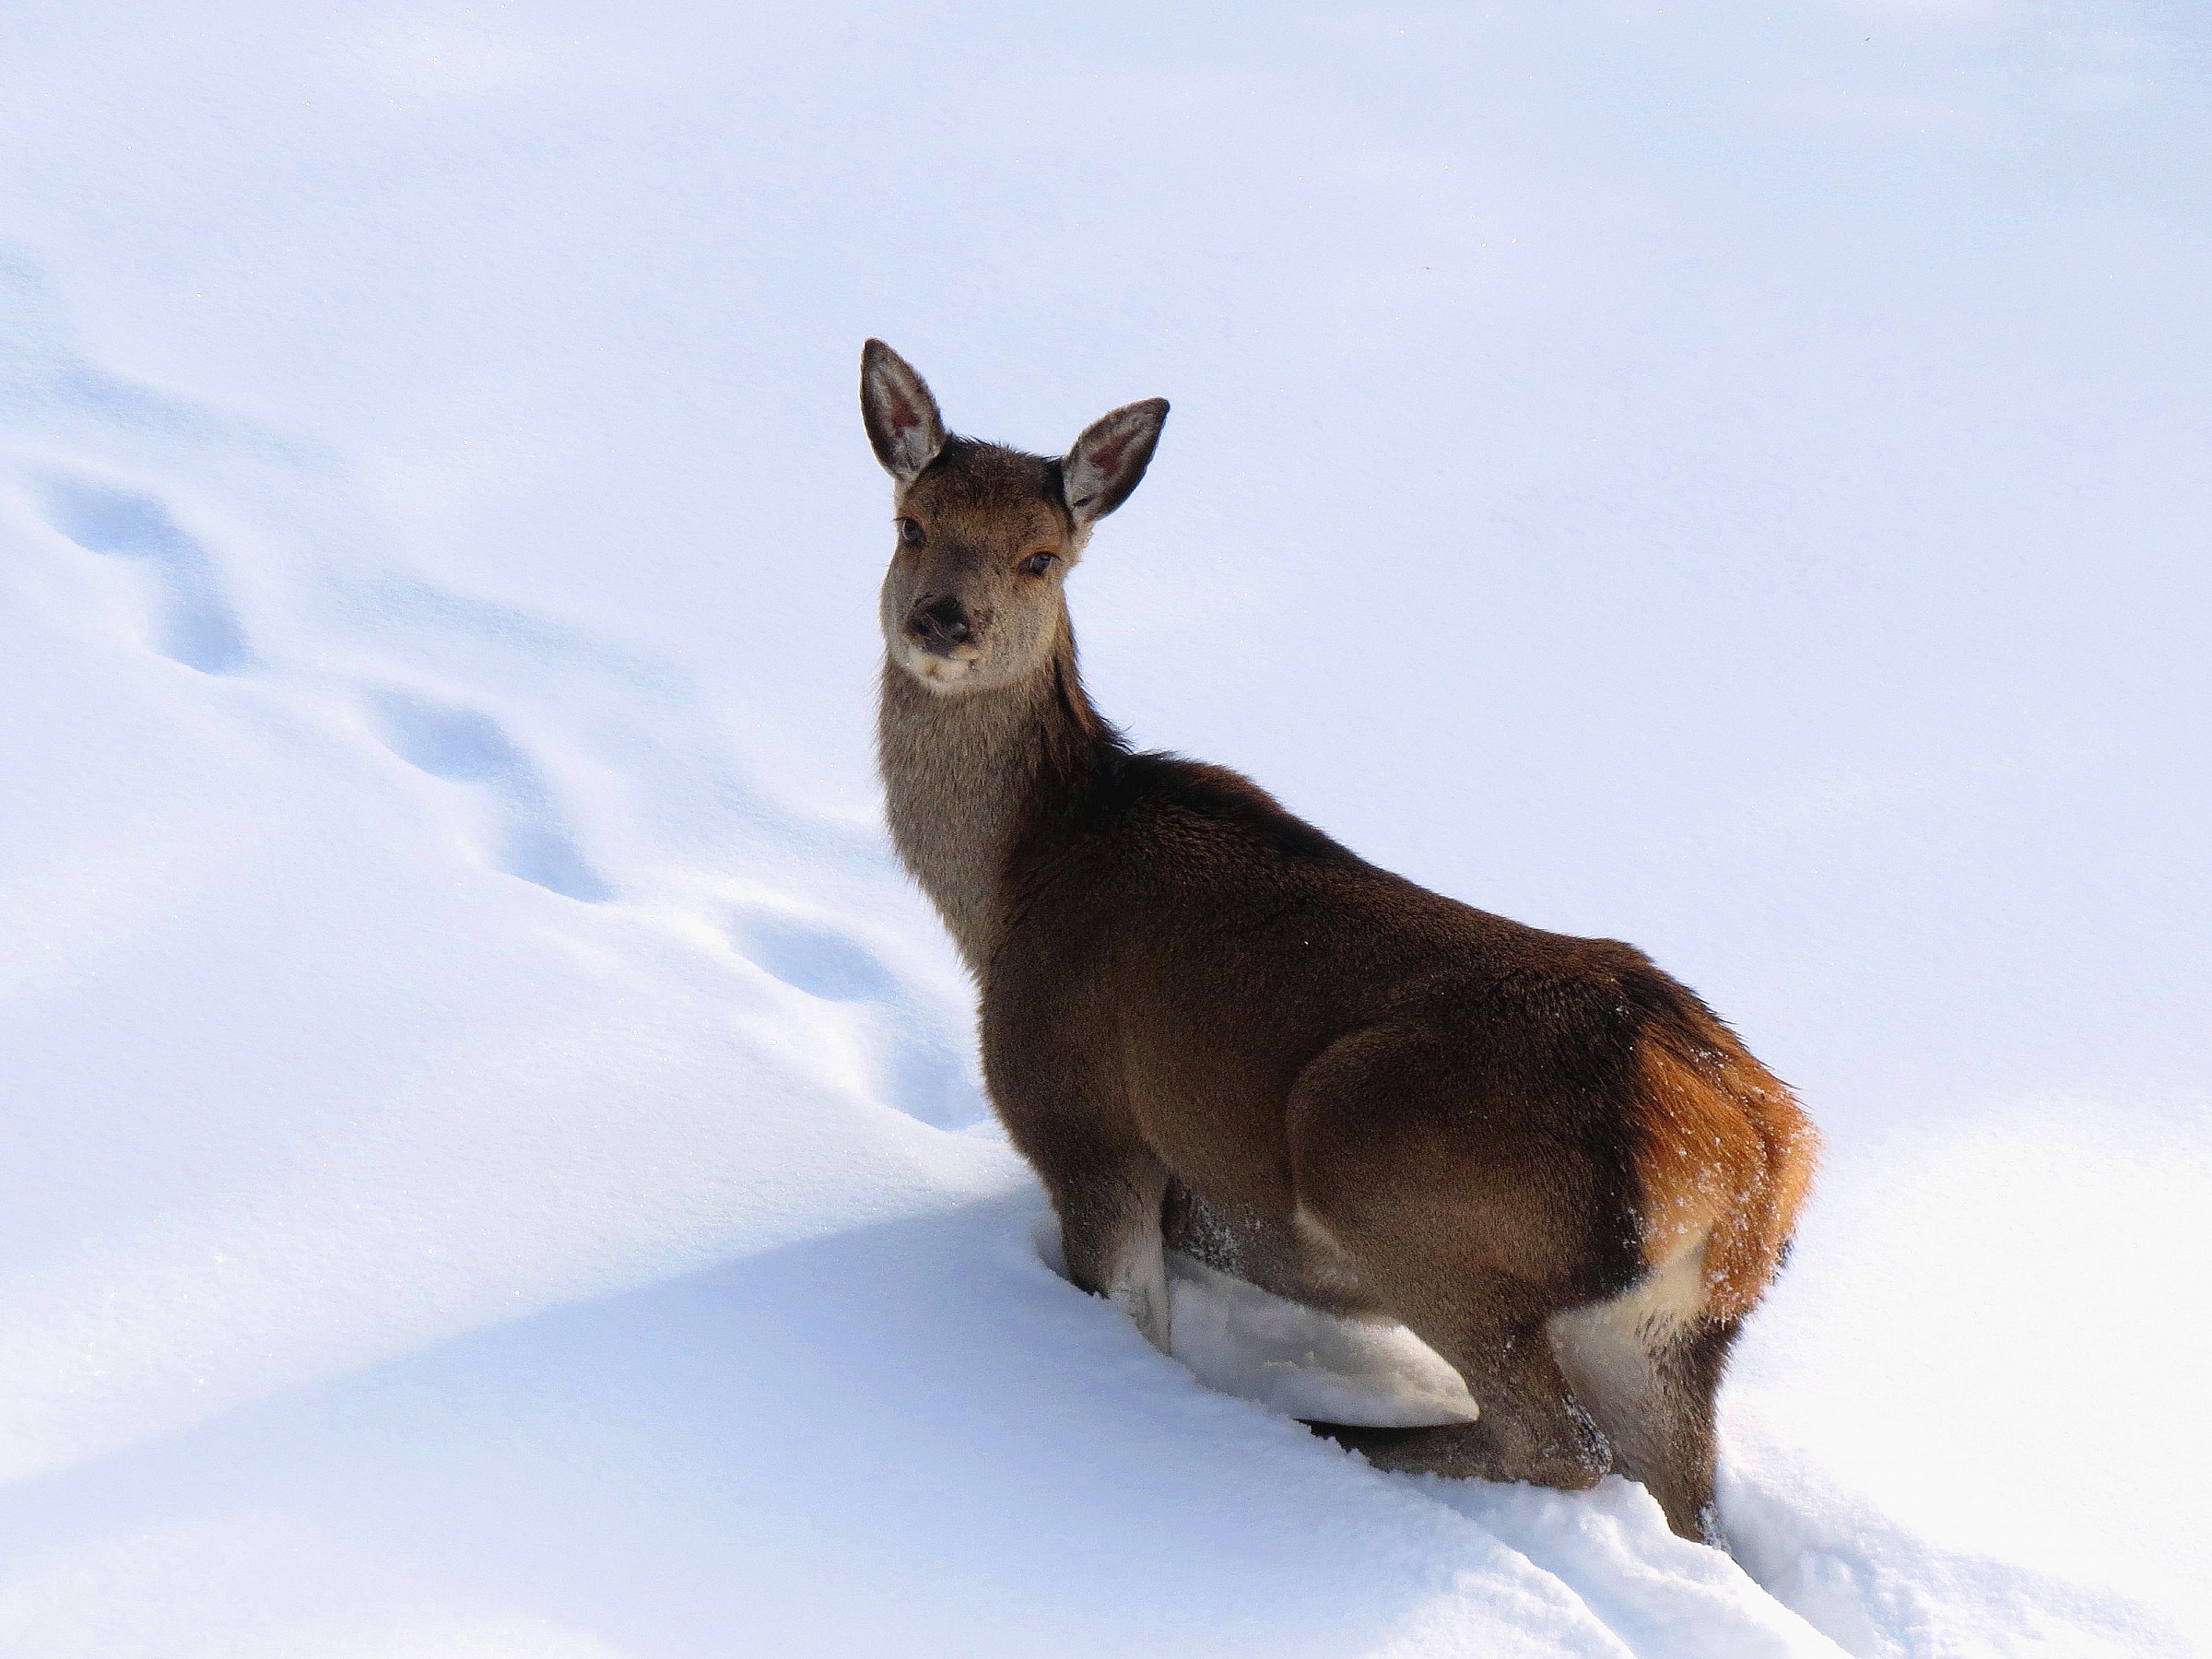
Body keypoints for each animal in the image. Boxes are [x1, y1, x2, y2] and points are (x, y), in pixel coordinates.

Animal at [860, 339, 1818, 1544]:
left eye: (1041, 557)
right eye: (911, 525)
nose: (944, 620)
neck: (1005, 893)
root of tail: (1757, 1162)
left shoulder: (1083, 1120)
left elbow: (1123, 1314)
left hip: (1396, 1182)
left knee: (1558, 1446)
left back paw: (1320, 1439)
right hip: (1671, 1335)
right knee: (1687, 1503)